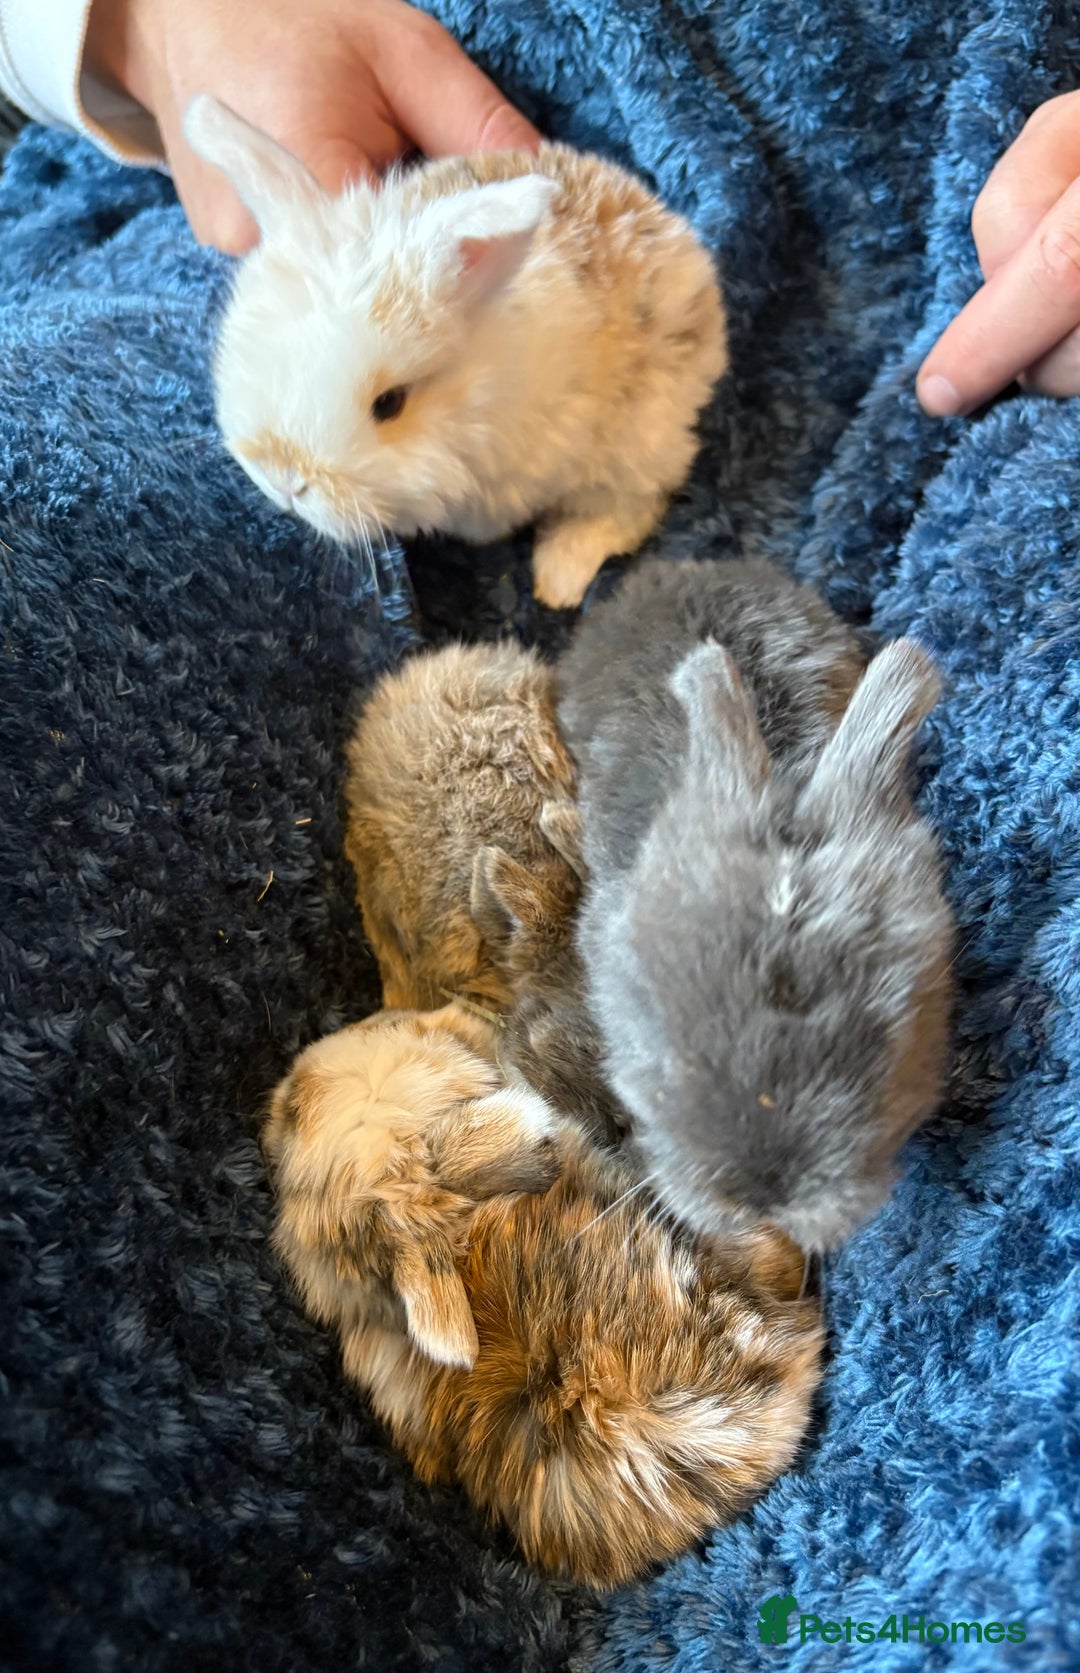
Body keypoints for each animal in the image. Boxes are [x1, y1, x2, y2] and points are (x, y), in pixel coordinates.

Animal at [184, 94, 727, 609]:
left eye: (390, 404)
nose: (284, 478)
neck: (479, 396)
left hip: (638, 442)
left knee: (624, 511)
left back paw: (559, 579)